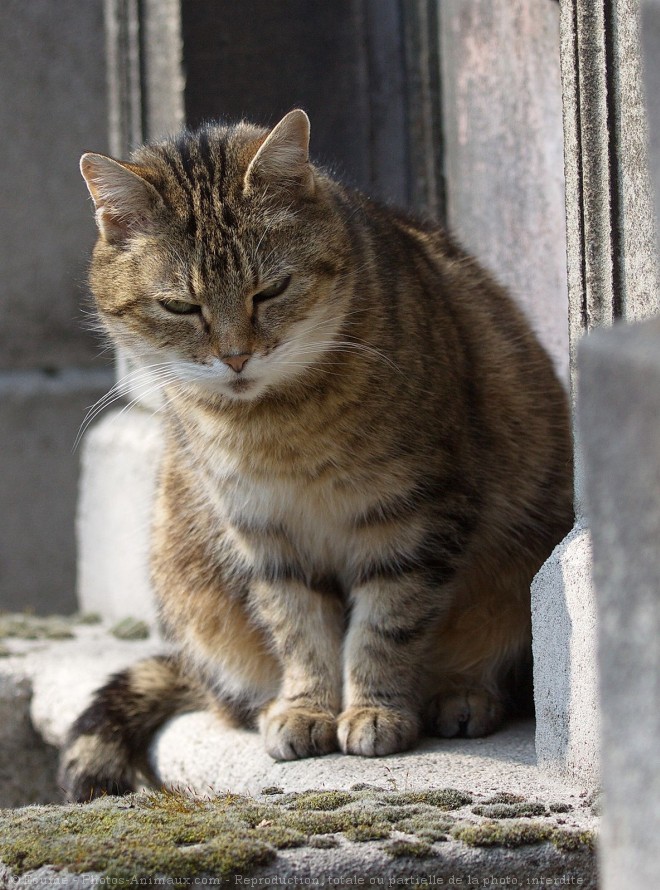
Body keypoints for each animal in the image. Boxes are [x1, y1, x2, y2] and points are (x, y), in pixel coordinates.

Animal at [59, 109, 576, 796]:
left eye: (271, 290)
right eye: (180, 306)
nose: (236, 357)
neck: (275, 427)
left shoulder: (413, 515)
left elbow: (385, 623)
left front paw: (374, 710)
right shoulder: (264, 533)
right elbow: (299, 629)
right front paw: (308, 709)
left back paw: (463, 694)